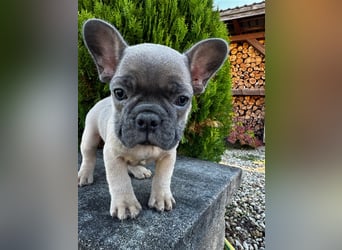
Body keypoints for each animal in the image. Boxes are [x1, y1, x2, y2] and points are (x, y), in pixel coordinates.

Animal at [77, 18, 227, 220]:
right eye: (119, 93)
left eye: (182, 99)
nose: (148, 118)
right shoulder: (112, 155)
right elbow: (119, 179)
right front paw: (126, 204)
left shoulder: (169, 155)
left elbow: (163, 178)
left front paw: (161, 197)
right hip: (90, 135)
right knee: (89, 155)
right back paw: (84, 174)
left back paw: (138, 170)